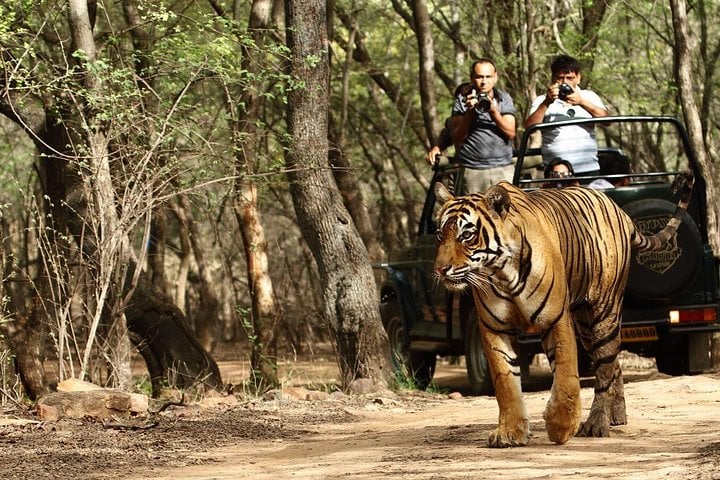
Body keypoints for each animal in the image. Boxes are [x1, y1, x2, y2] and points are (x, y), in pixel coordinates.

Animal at [433, 171, 694, 447]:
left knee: (604, 368)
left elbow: (566, 374)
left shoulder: (555, 319)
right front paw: (509, 432)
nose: (440, 269)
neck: (501, 272)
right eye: (439, 235)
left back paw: (596, 424)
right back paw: (617, 416)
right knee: (613, 363)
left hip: (604, 312)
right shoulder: (494, 328)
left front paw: (561, 426)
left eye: (466, 236)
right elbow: (505, 382)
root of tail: (620, 211)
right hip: (586, 325)